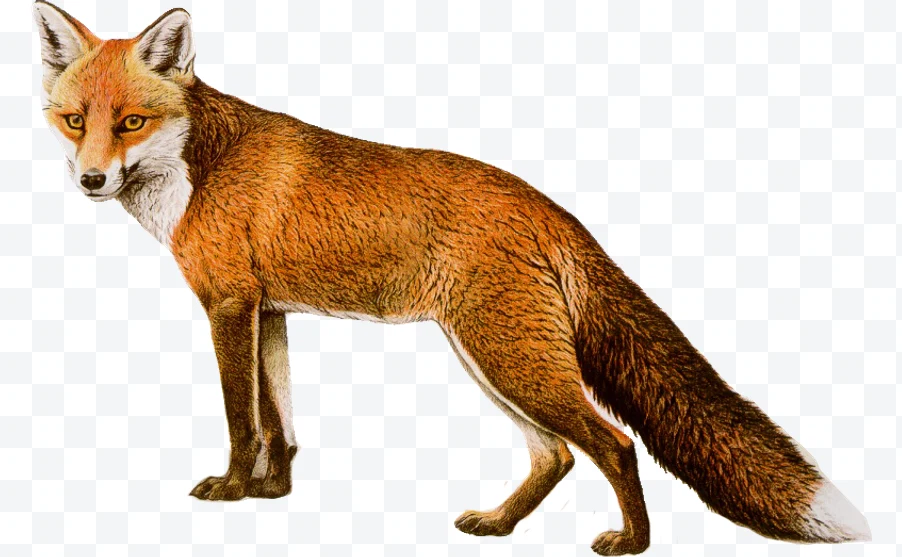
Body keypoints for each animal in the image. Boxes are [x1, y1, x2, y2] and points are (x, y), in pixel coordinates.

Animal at [33, 2, 870, 554]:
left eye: (131, 122)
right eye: (75, 121)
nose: (92, 180)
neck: (198, 169)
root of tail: (548, 207)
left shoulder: (229, 305)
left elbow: (244, 420)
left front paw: (234, 490)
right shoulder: (268, 311)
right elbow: (281, 421)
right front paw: (274, 493)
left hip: (509, 358)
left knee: (614, 442)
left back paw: (632, 541)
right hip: (489, 357)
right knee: (557, 454)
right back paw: (499, 524)